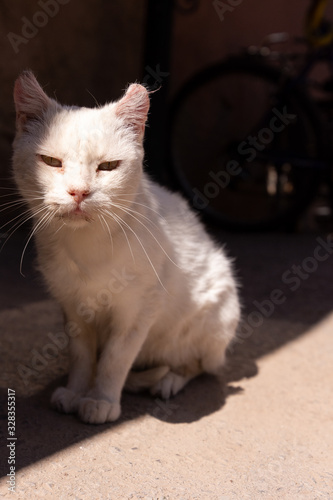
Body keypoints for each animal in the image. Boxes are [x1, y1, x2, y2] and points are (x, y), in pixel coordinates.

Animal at [12, 70, 239, 422]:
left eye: (107, 167)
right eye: (50, 161)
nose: (79, 192)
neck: (87, 245)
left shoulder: (138, 310)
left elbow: (115, 359)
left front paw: (101, 400)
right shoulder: (73, 309)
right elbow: (82, 357)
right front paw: (77, 391)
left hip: (216, 312)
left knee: (197, 364)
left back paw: (168, 381)